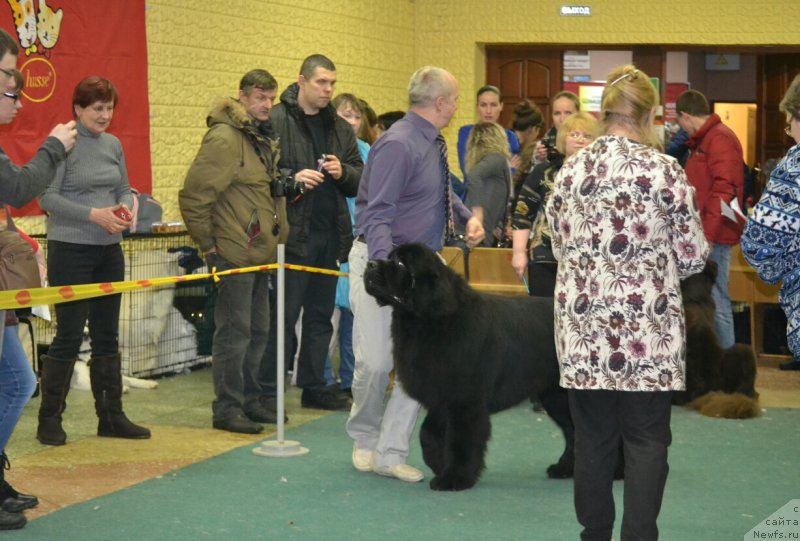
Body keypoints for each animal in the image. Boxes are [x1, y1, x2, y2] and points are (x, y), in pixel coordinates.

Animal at [362, 244, 576, 490]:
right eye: (389, 257)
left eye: (400, 263)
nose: (370, 264)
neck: (430, 319)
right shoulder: (441, 398)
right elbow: (428, 434)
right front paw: (438, 464)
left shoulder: (464, 400)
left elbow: (460, 440)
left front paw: (455, 478)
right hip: (555, 396)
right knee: (573, 431)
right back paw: (565, 469)